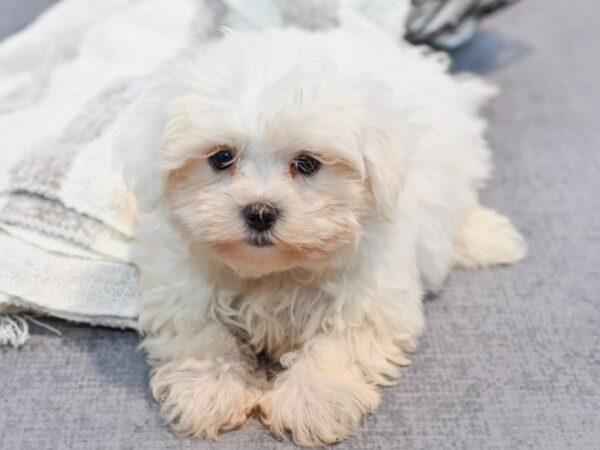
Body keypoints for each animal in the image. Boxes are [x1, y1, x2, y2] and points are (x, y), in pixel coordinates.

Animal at [113, 27, 524, 446]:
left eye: (307, 163)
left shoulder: (373, 293)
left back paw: (489, 238)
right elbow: (202, 332)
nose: (260, 212)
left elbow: (341, 340)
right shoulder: (179, 286)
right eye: (221, 158)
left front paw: (310, 400)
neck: (274, 273)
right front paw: (210, 388)